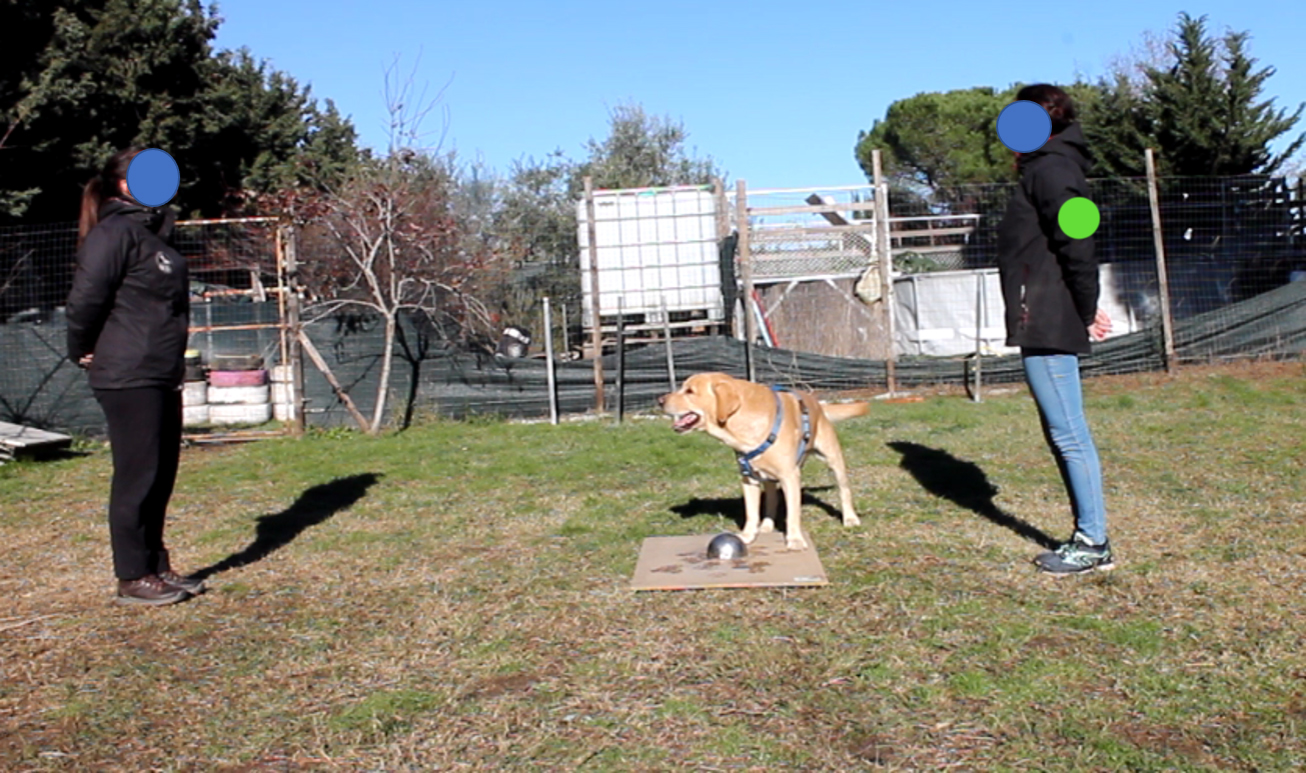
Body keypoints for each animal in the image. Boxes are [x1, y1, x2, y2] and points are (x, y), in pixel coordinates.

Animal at [663, 373, 867, 548]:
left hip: (833, 459)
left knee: (844, 490)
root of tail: (817, 403)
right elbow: (752, 513)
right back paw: (767, 525)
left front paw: (795, 540)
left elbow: (793, 513)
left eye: (690, 391)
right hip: (767, 476)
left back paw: (850, 518)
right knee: (771, 499)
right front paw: (746, 536)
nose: (660, 400)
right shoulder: (748, 479)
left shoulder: (790, 476)